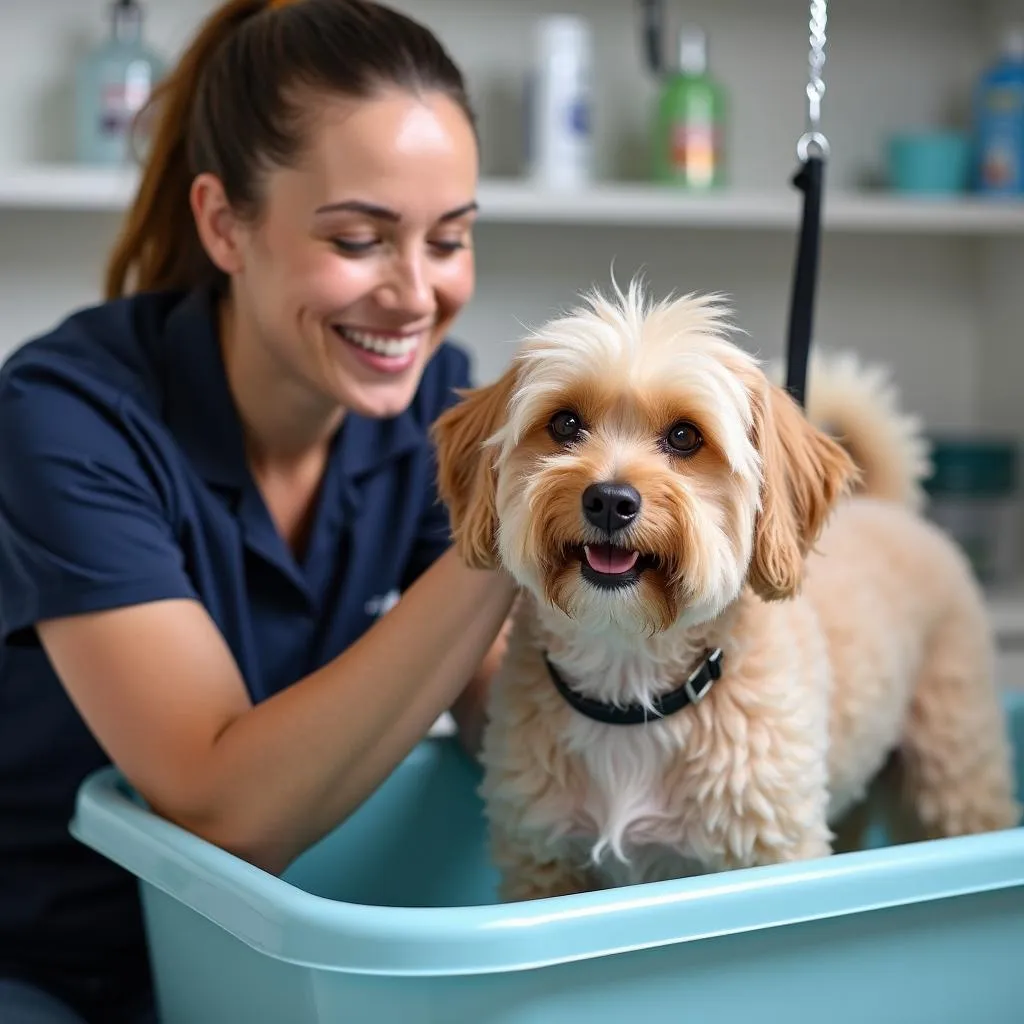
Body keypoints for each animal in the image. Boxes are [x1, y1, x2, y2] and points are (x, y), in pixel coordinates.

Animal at [434, 284, 1024, 901]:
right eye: (566, 424)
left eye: (684, 436)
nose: (610, 500)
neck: (631, 689)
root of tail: (885, 506)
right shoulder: (543, 866)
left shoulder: (775, 850)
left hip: (954, 771)